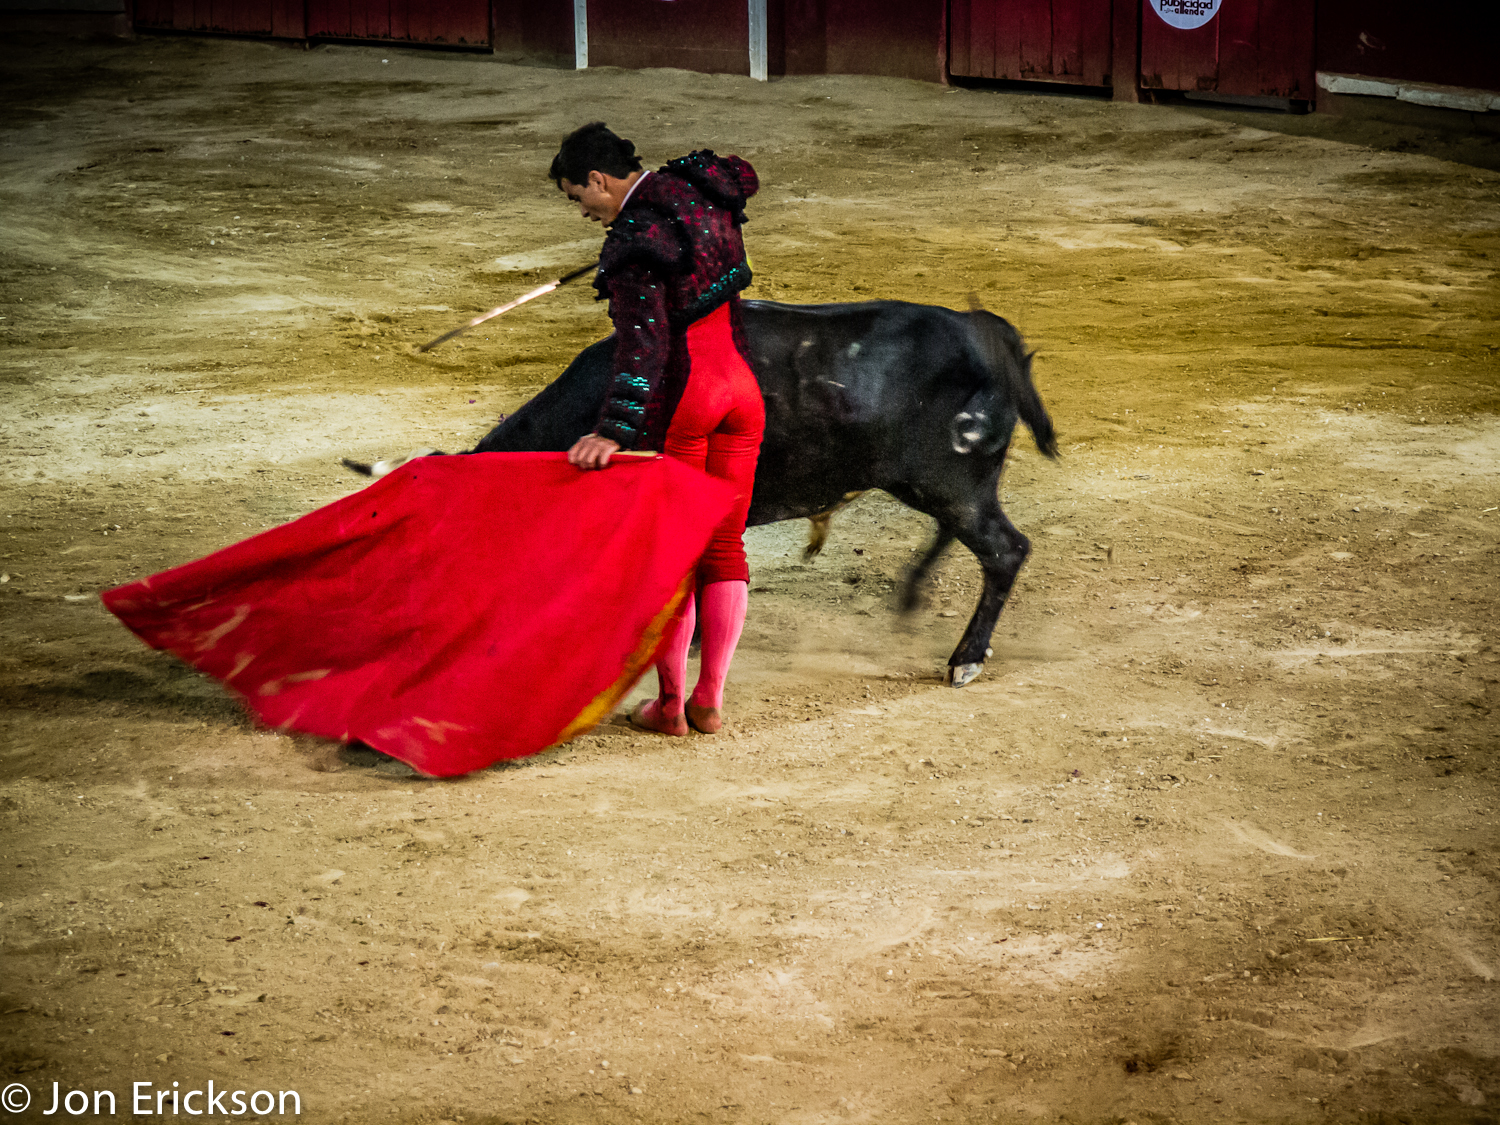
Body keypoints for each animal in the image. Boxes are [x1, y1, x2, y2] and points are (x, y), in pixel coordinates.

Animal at [357, 298, 1056, 687]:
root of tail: (983, 330)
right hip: (942, 487)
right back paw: (912, 598)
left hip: (948, 482)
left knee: (1004, 550)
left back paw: (964, 659)